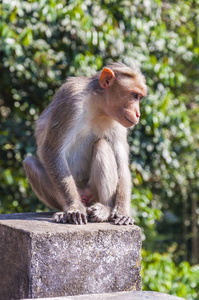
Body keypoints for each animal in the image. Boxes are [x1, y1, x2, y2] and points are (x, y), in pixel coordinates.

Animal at [23, 61, 148, 225]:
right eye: (134, 95)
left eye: (139, 97)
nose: (138, 114)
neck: (99, 108)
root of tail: (85, 196)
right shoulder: (72, 100)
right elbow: (51, 151)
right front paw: (75, 208)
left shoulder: (120, 123)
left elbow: (122, 164)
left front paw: (122, 211)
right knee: (30, 163)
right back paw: (66, 211)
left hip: (92, 192)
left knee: (102, 144)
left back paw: (105, 209)